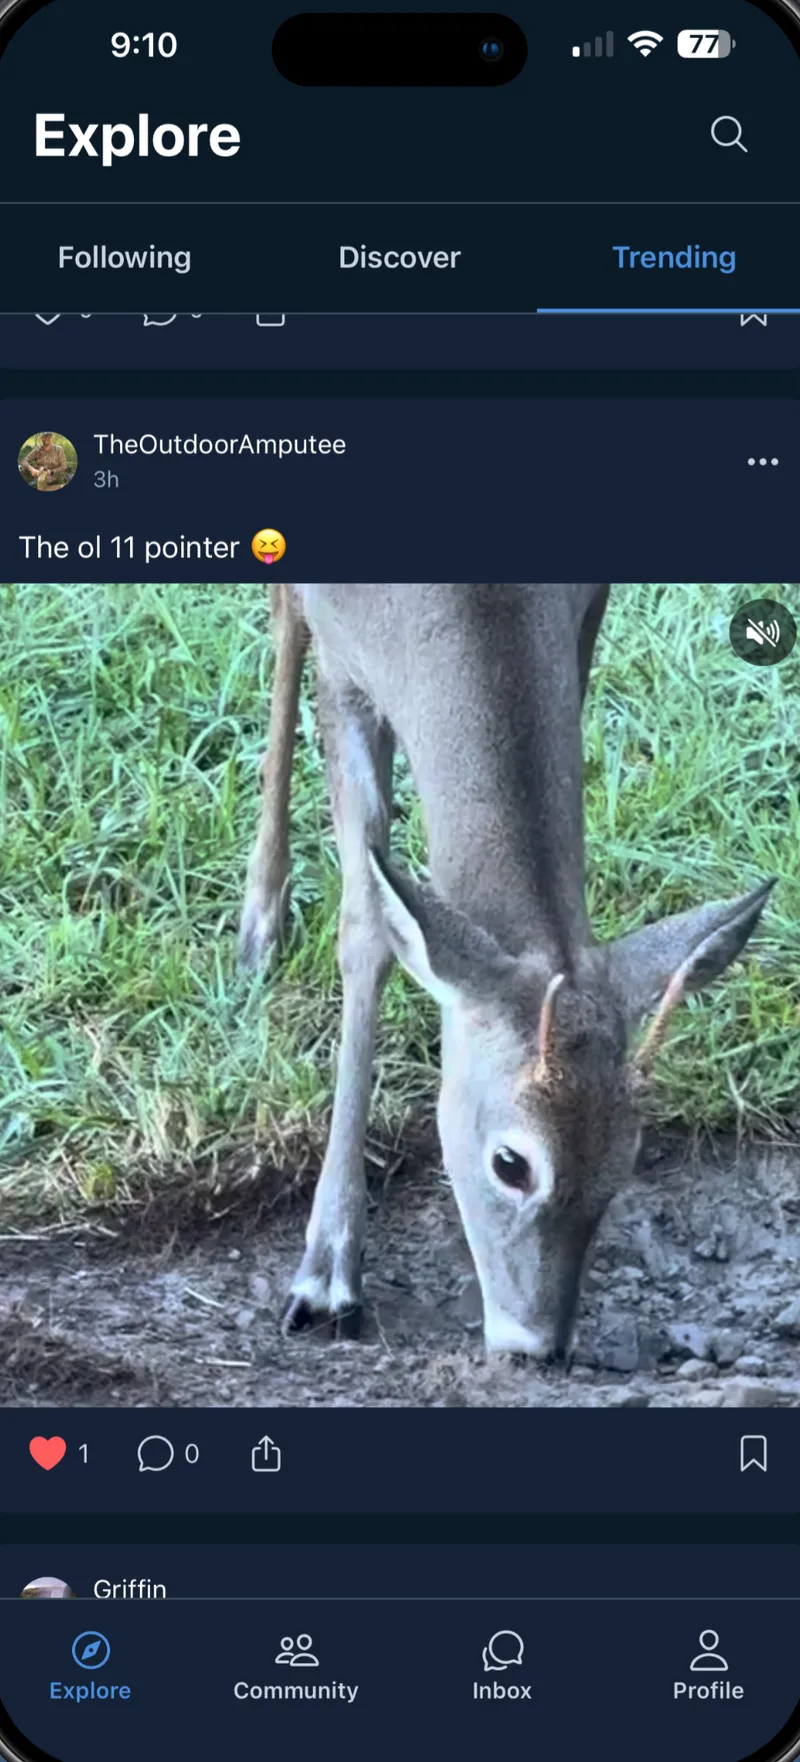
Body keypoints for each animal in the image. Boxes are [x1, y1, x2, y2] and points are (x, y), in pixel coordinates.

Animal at [239, 583, 774, 1360]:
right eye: (510, 1163)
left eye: (628, 1156)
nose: (537, 1346)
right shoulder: (344, 668)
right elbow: (368, 922)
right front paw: (327, 1273)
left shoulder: (590, 603)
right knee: (284, 621)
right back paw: (259, 922)